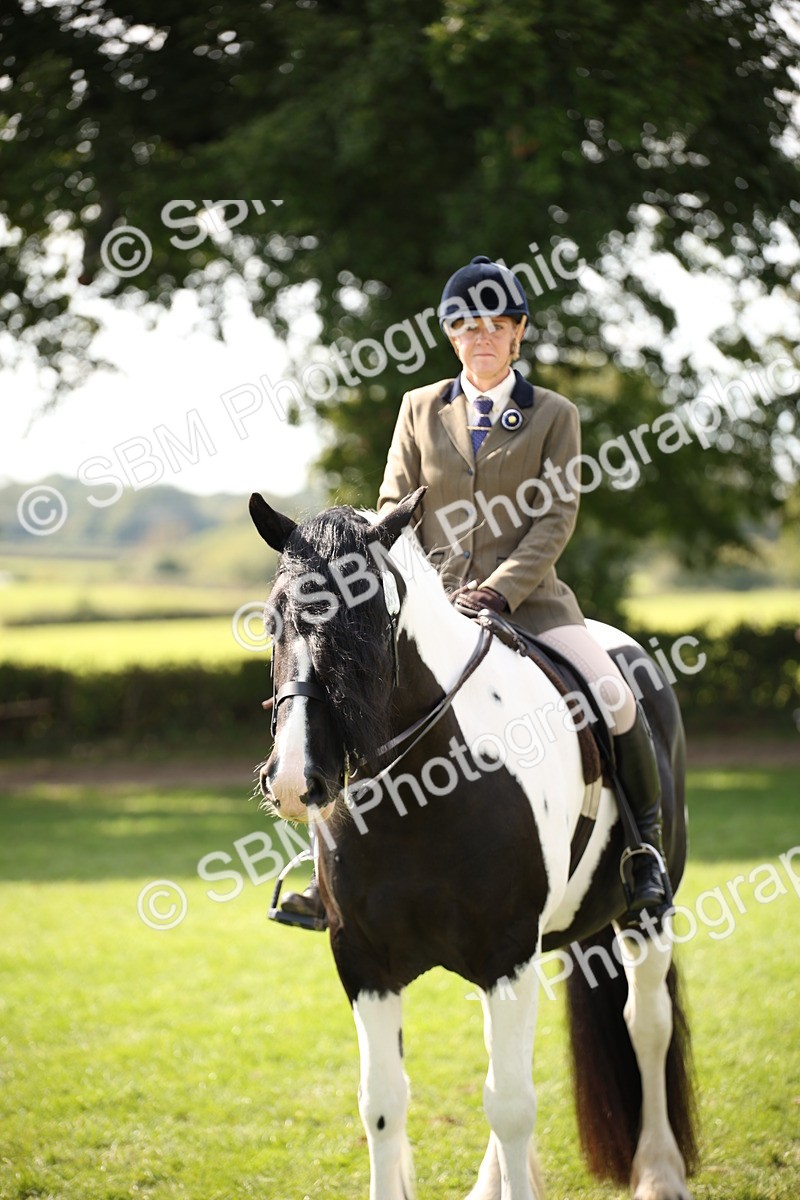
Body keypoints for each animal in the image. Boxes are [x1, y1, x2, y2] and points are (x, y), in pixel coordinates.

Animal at [250, 486, 698, 1200]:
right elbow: (382, 1103)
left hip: (645, 913)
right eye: (274, 619)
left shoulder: (506, 954)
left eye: (374, 620)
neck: (417, 794)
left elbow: (510, 1104)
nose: (296, 779)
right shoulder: (363, 961)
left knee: (646, 1025)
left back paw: (659, 1172)